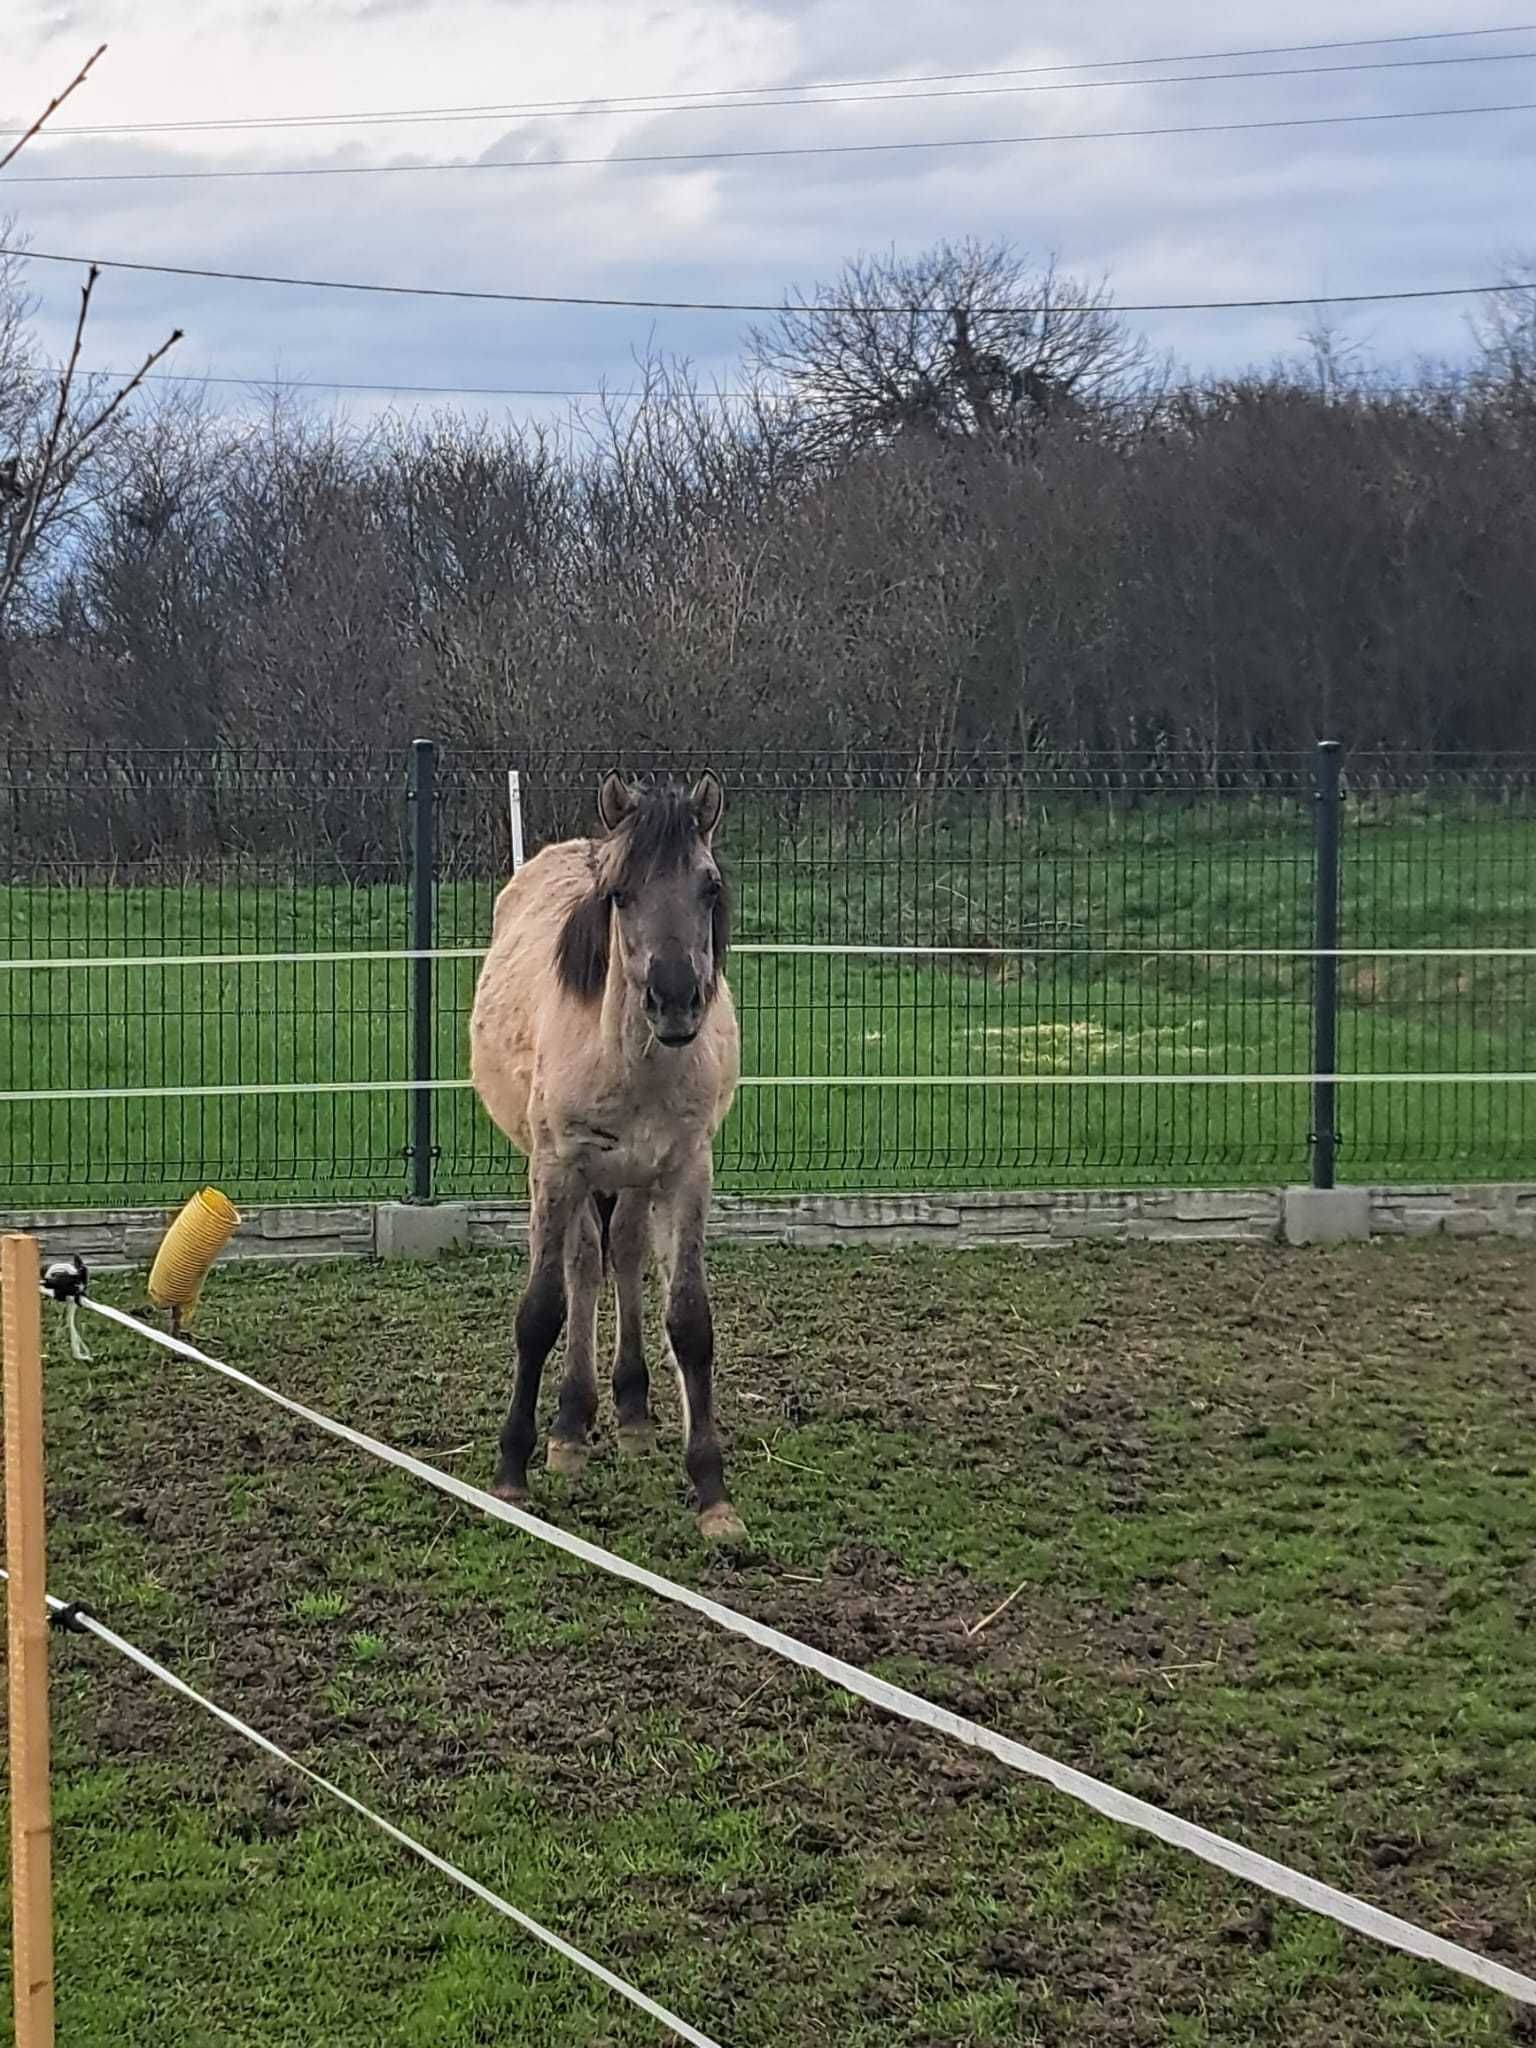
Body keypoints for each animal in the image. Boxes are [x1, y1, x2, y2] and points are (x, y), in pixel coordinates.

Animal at [473, 774, 749, 1540]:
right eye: (619, 893)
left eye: (710, 887)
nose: (676, 1000)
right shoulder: (557, 1166)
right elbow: (540, 1310)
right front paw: (511, 1474)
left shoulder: (686, 1171)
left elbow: (689, 1320)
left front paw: (713, 1495)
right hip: (571, 1173)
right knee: (583, 1265)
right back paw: (570, 1427)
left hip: (630, 1177)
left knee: (618, 1254)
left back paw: (627, 1412)